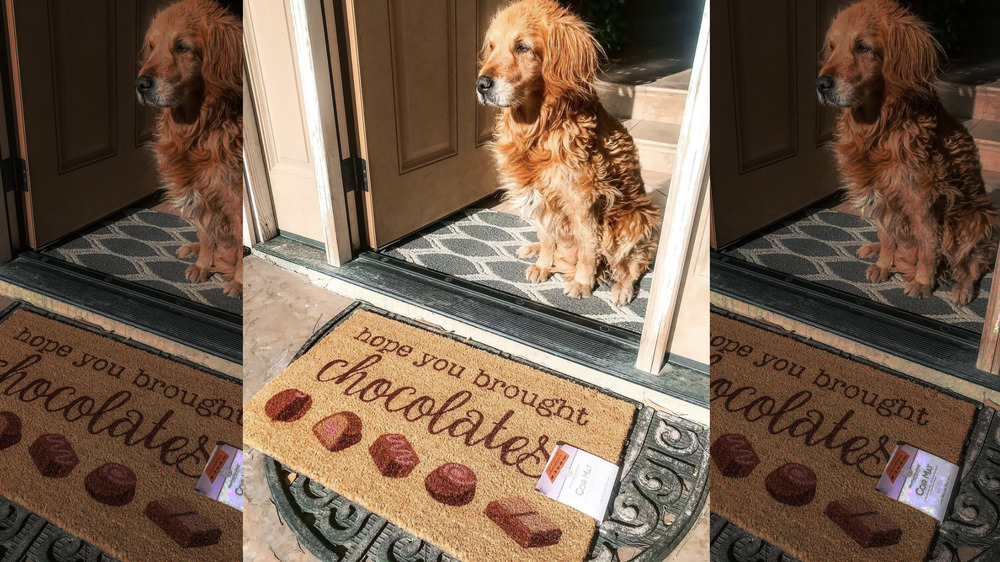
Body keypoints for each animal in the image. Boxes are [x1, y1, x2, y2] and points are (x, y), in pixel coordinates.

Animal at [136, 0, 243, 298]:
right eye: (151, 47)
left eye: (182, 47)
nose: (141, 84)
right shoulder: (199, 192)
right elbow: (205, 235)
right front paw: (203, 264)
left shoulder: (234, 200)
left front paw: (239, 281)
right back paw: (192, 249)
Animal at [478, 0, 660, 304]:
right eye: (491, 46)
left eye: (522, 47)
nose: (481, 84)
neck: (538, 129)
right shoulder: (537, 195)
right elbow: (546, 236)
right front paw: (542, 265)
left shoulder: (582, 200)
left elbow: (588, 247)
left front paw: (583, 283)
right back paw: (533, 249)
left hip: (635, 218)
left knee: (633, 264)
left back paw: (621, 289)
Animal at [816, 0, 996, 304]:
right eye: (831, 46)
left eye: (862, 47)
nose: (822, 84)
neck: (878, 129)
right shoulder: (878, 193)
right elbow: (887, 235)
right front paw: (883, 264)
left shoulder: (921, 198)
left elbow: (928, 245)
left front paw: (923, 282)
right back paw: (873, 249)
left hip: (975, 218)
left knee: (973, 264)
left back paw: (962, 288)